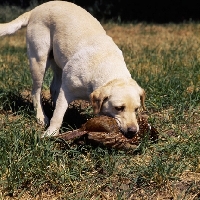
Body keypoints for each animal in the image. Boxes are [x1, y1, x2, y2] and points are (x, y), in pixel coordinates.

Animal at [0, 0, 145, 138]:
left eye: (137, 109)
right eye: (119, 108)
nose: (133, 131)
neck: (107, 67)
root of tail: (35, 9)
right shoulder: (67, 90)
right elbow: (57, 116)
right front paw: (50, 133)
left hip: (59, 63)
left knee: (53, 88)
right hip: (39, 61)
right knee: (36, 92)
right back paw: (41, 117)